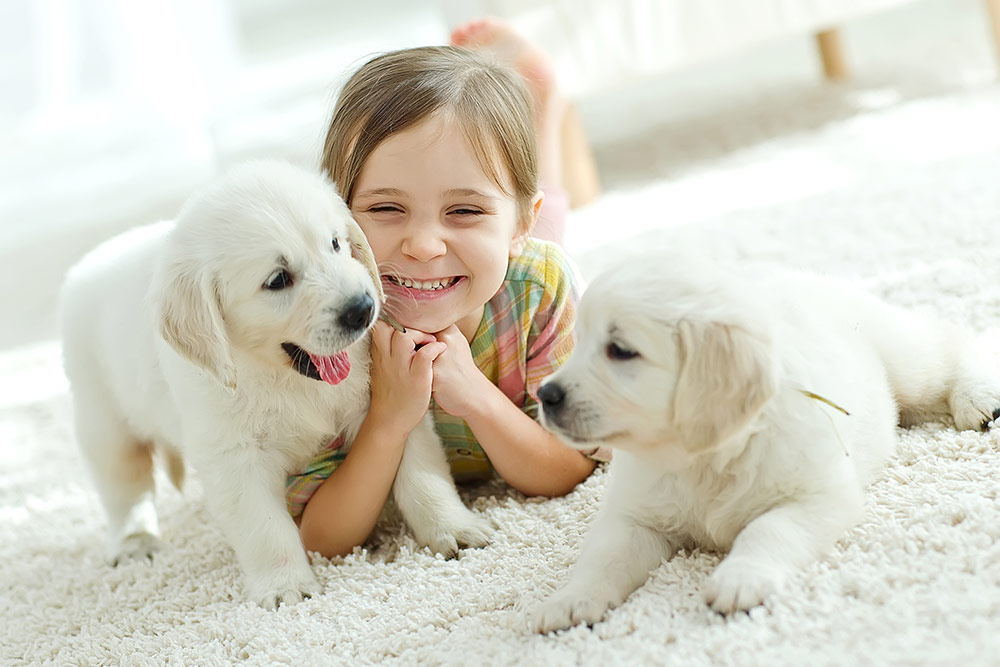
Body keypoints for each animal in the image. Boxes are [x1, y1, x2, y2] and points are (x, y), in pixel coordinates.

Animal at [60, 162, 490, 612]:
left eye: (335, 243)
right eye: (279, 279)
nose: (362, 309)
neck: (283, 377)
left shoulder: (390, 403)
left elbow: (421, 474)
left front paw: (453, 527)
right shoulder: (234, 456)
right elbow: (264, 528)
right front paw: (286, 586)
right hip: (103, 418)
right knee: (124, 486)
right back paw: (134, 541)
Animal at [532, 250, 1000, 632]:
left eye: (621, 350)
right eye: (579, 342)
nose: (545, 395)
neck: (702, 457)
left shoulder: (820, 497)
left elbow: (768, 529)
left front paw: (740, 578)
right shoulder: (634, 517)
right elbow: (603, 557)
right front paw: (570, 600)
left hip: (906, 362)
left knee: (949, 342)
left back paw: (978, 398)